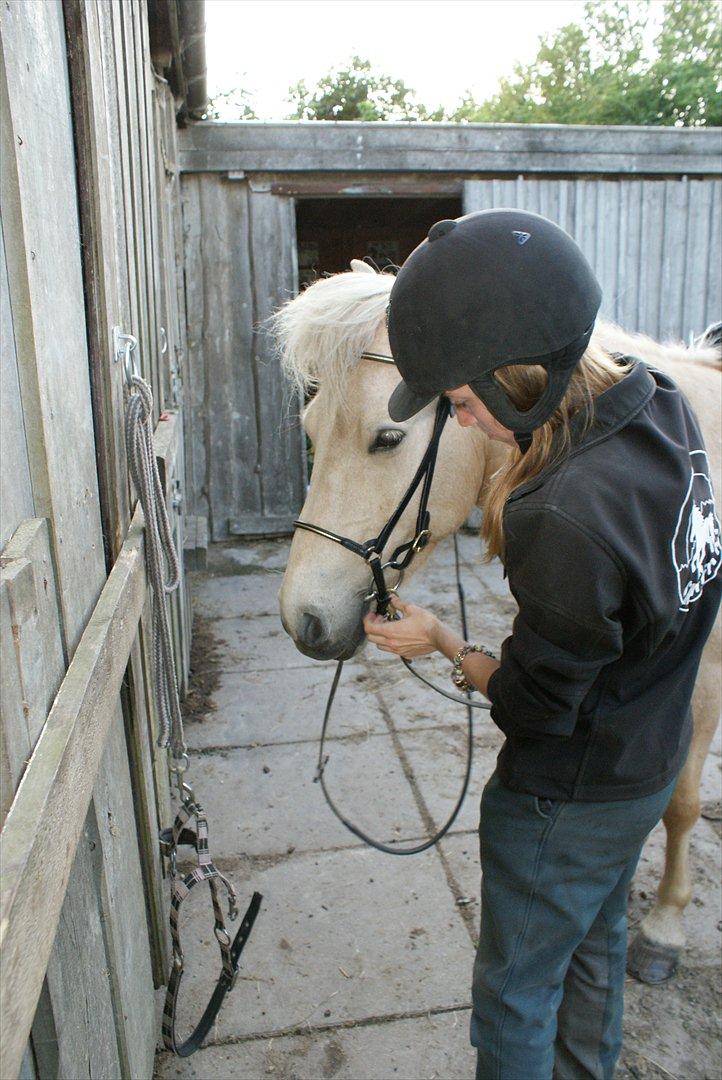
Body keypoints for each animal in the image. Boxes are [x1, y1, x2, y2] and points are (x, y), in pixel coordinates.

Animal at [271, 263, 720, 989]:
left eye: (386, 437)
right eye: (310, 424)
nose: (303, 620)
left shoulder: (703, 674)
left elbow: (679, 801)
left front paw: (664, 927)